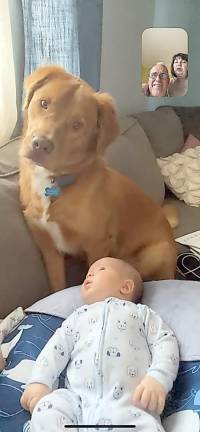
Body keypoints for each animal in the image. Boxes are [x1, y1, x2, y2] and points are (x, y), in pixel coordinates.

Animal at [19, 65, 177, 294]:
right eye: (44, 103)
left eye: (77, 125)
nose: (40, 144)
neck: (53, 182)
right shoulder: (48, 249)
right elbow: (57, 286)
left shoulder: (97, 245)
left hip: (155, 254)